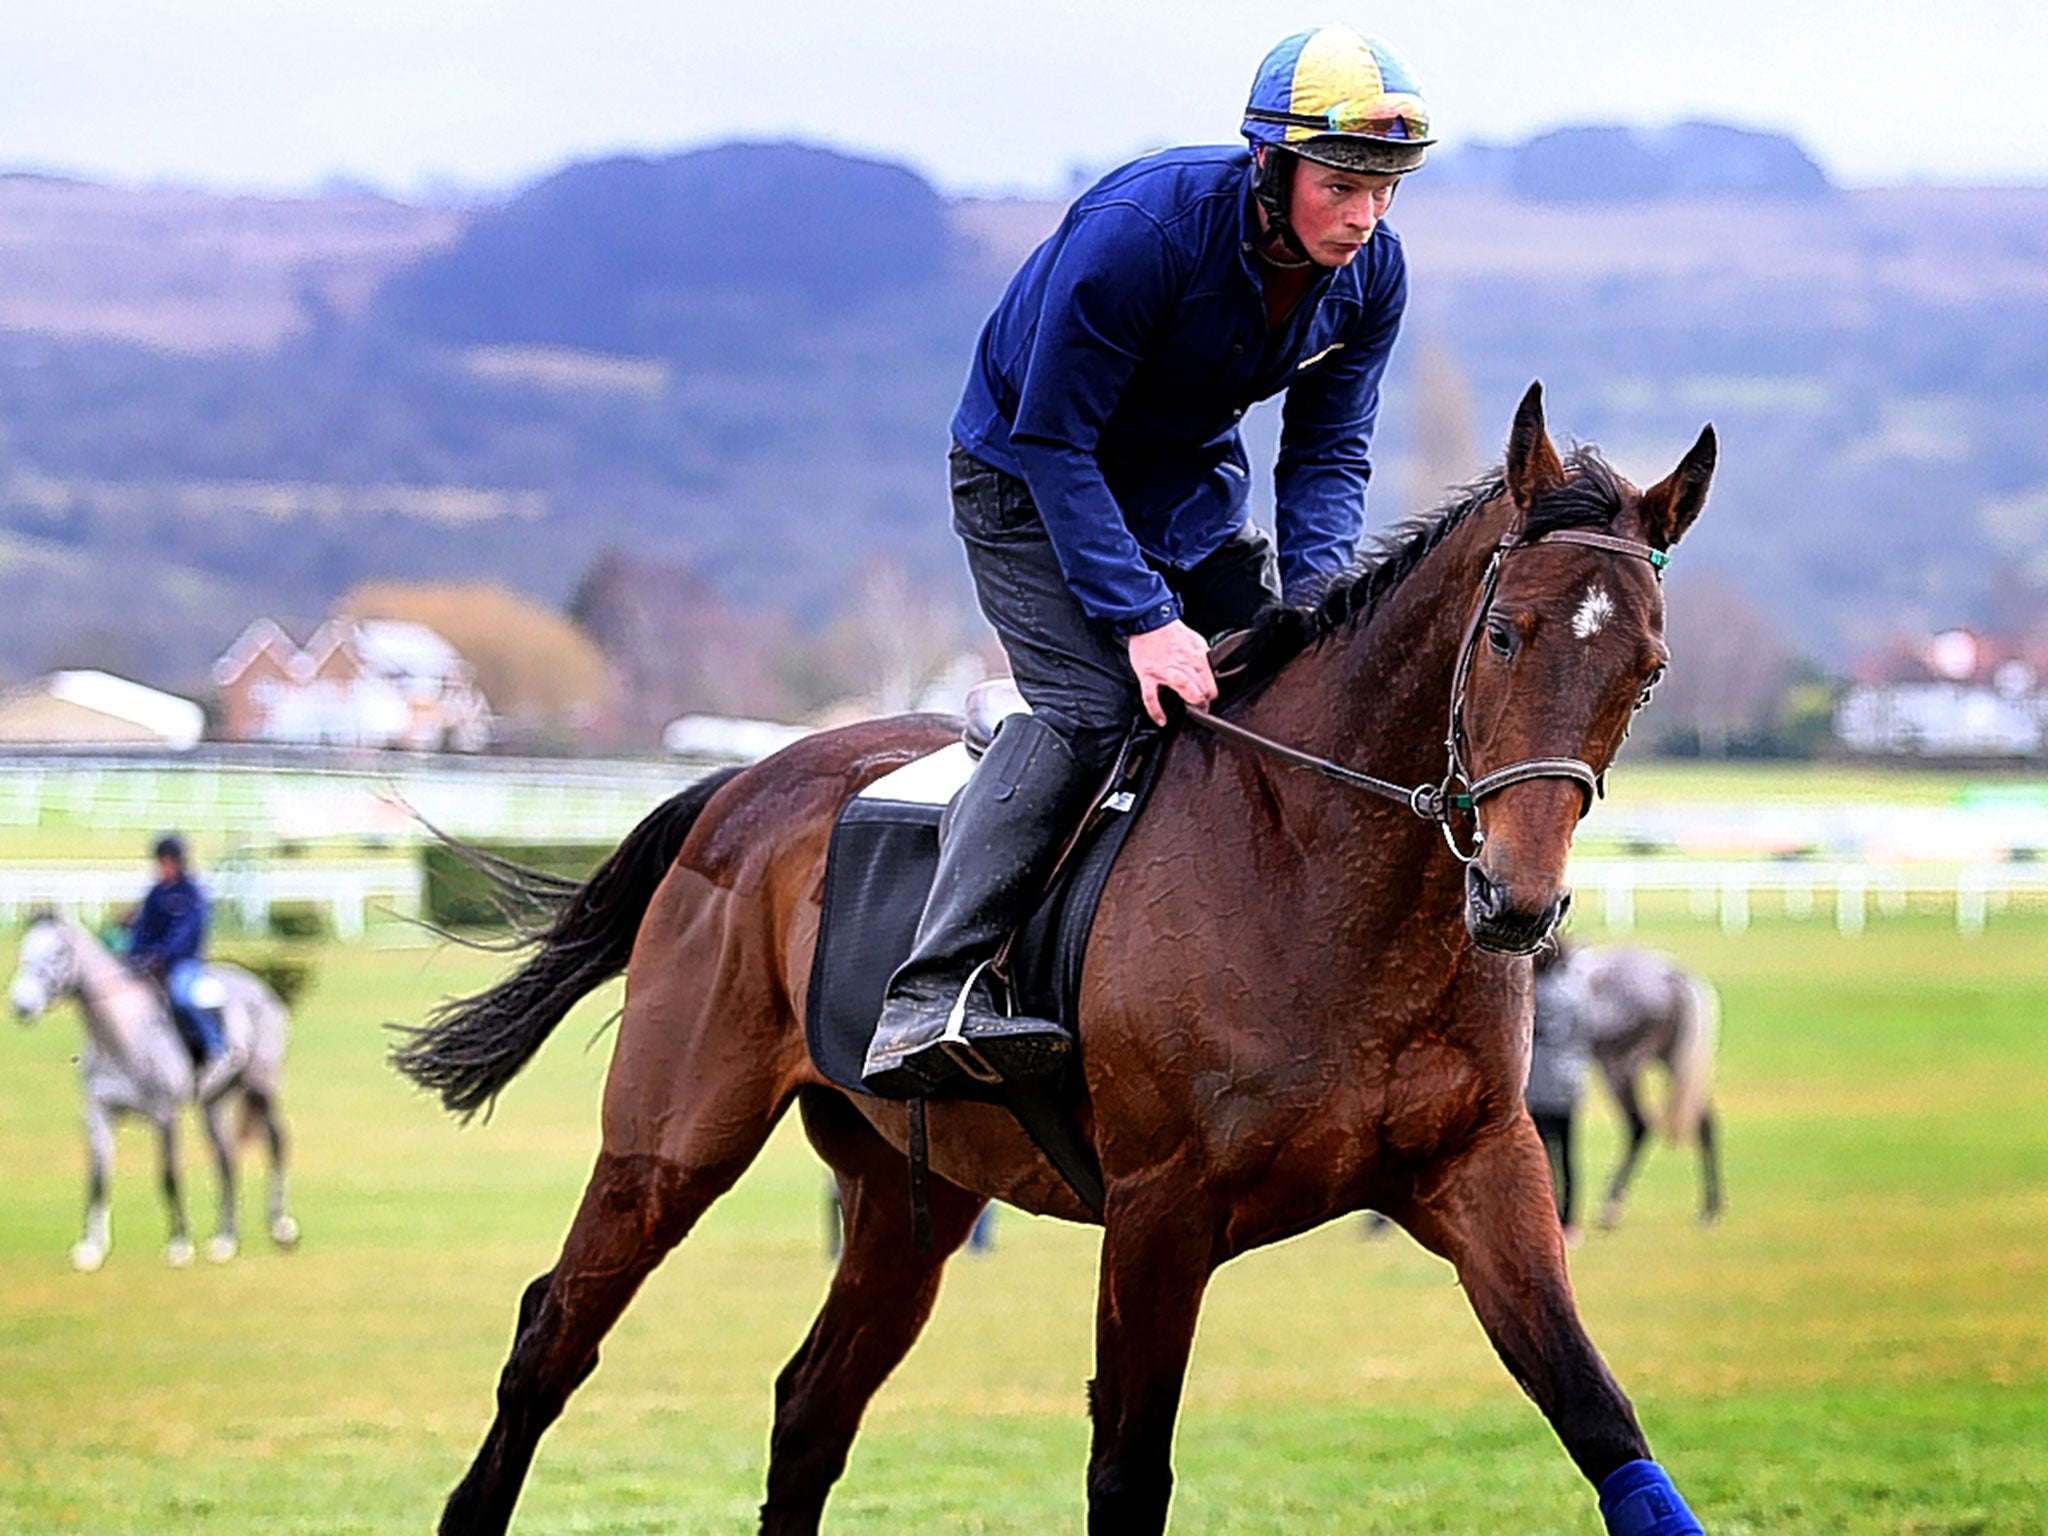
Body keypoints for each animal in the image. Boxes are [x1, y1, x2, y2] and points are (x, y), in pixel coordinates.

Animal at [8, 913, 299, 1277]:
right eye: (25, 947)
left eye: (59, 953)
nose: (21, 1005)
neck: (122, 1035)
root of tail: (258, 987)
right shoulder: (98, 1115)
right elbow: (99, 1179)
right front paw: (91, 1249)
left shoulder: (164, 1115)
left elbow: (169, 1177)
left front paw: (179, 1246)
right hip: (214, 1102)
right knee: (226, 1158)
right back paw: (225, 1242)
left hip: (261, 1087)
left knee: (276, 1143)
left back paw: (282, 1228)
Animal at [1556, 946, 1720, 1236]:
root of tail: (1670, 973)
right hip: (1672, 1064)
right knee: (1704, 1122)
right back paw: (1709, 1210)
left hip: (1619, 1069)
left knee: (1638, 1126)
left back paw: (1609, 1208)